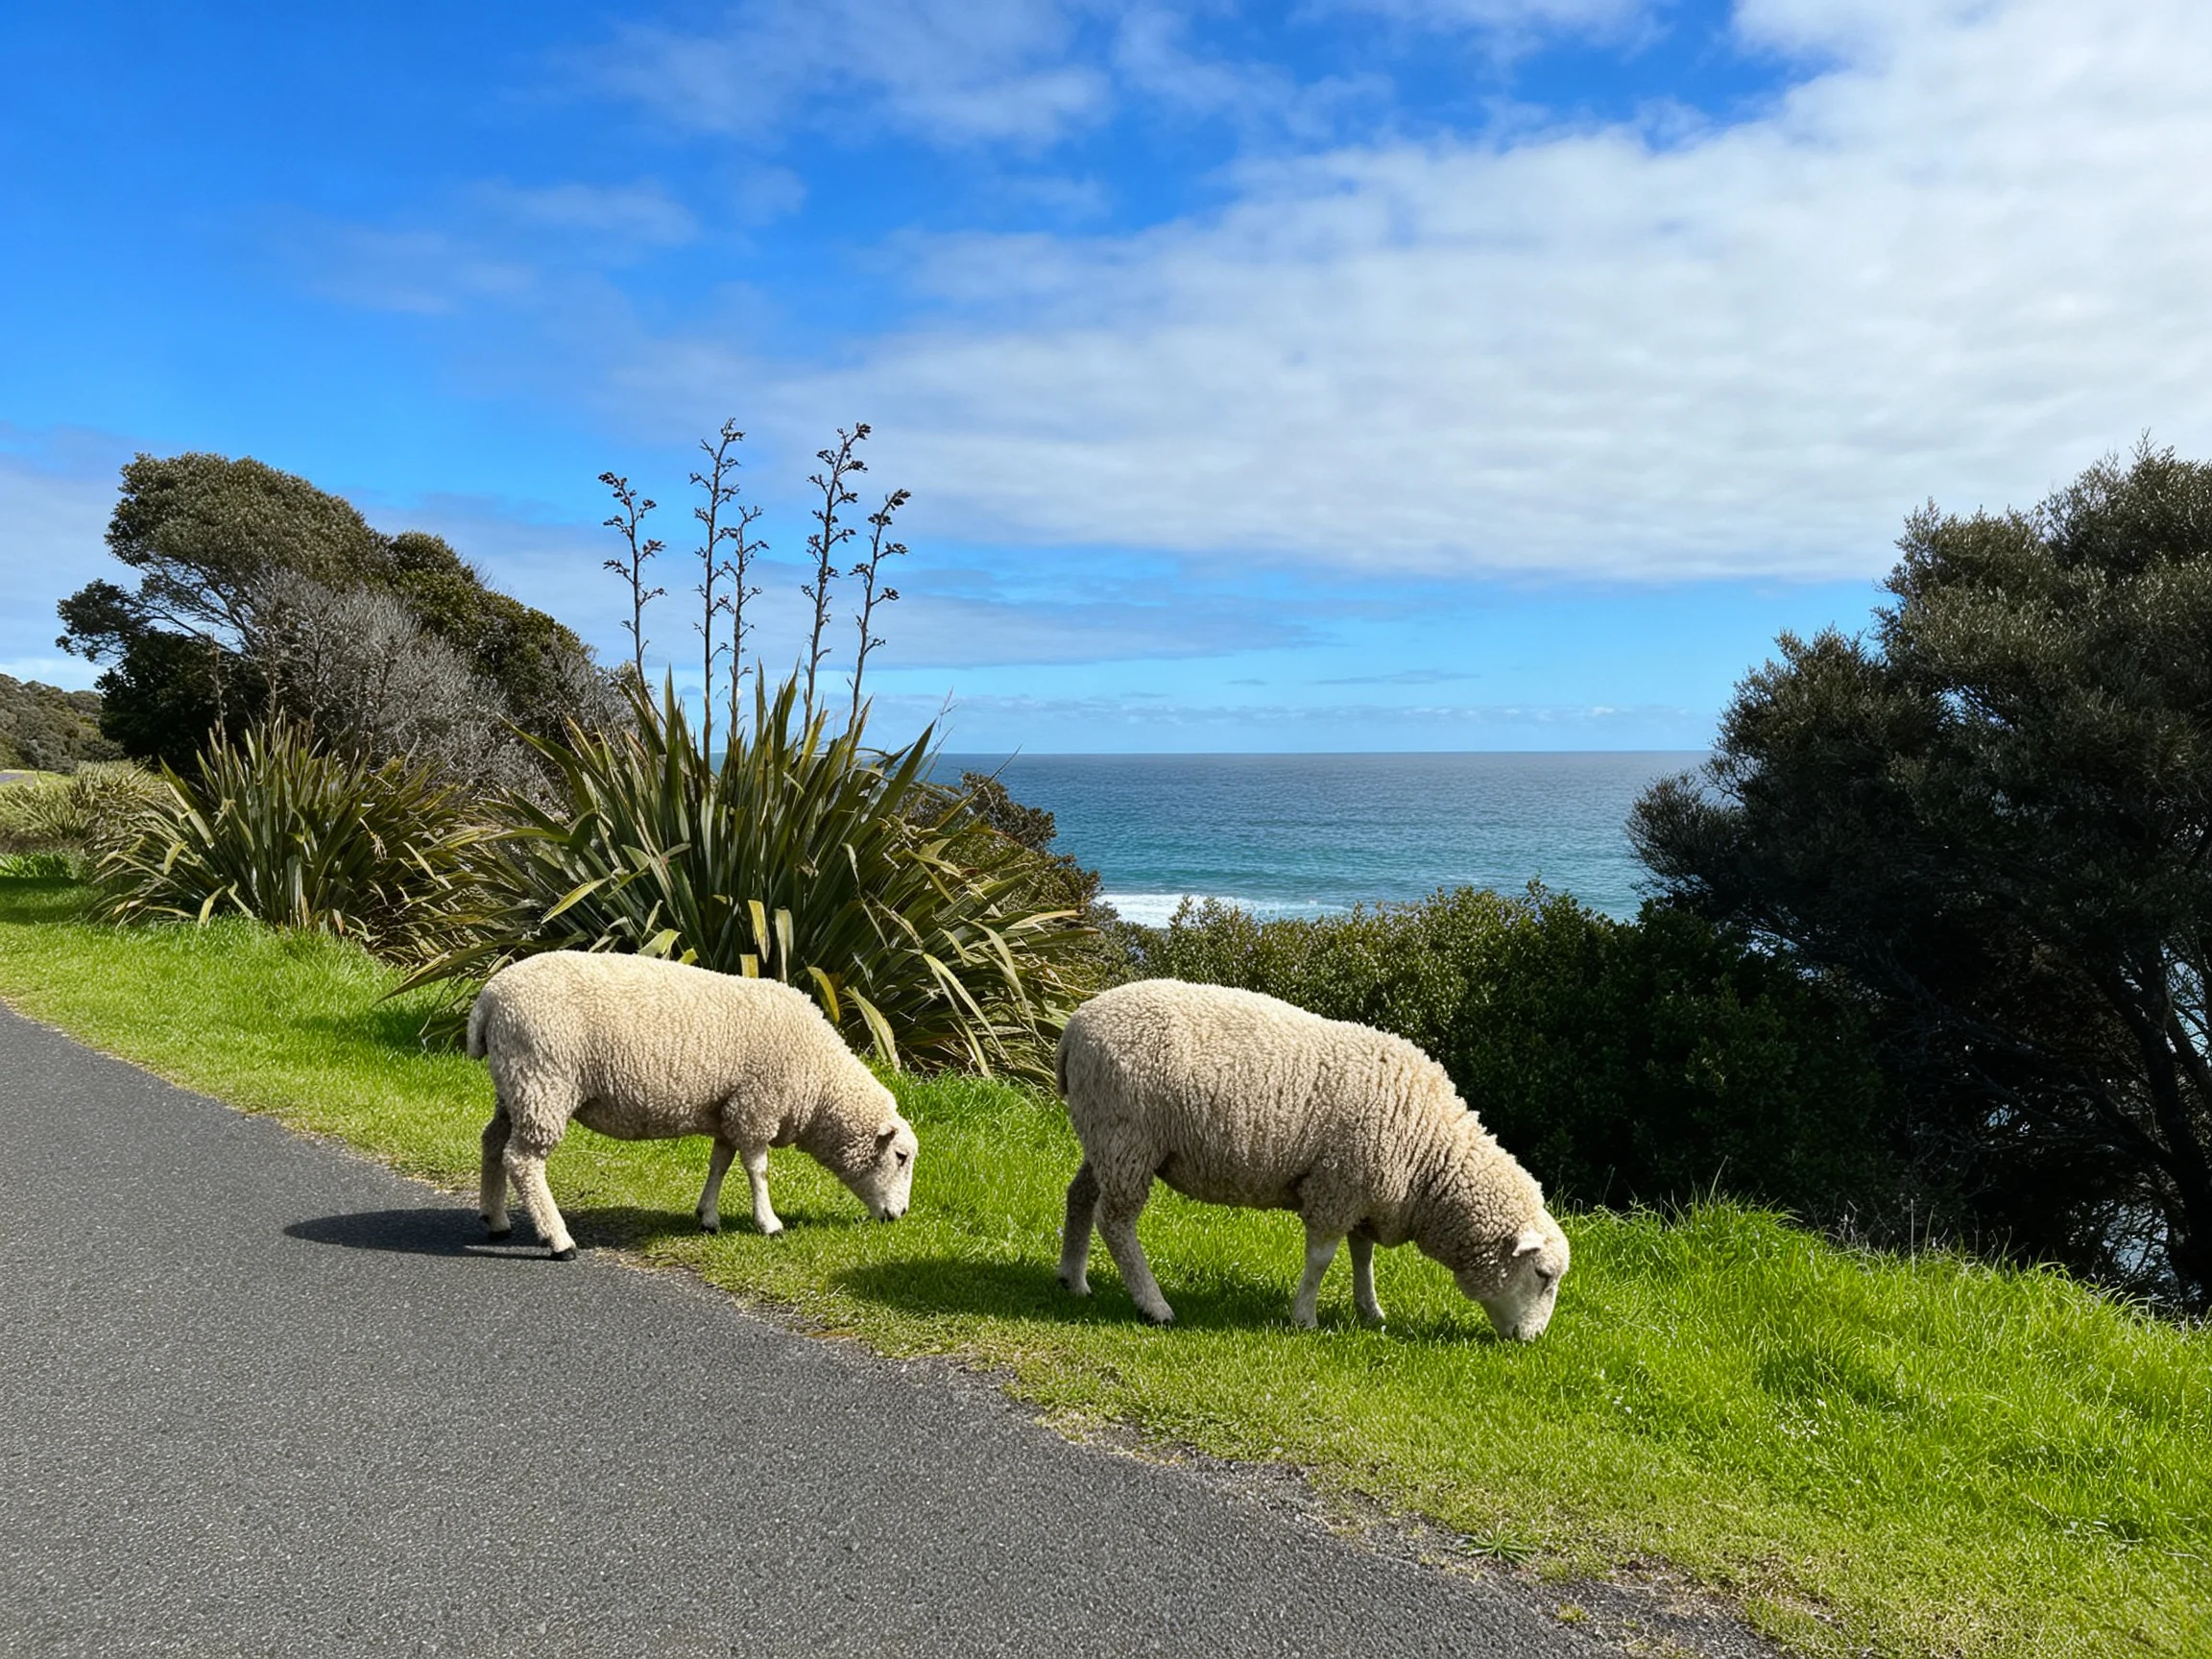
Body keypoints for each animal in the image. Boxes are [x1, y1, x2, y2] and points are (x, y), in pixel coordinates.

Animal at [467, 950, 919, 1259]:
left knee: (493, 1142)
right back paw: (559, 1240)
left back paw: (496, 1220)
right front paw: (769, 1223)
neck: (820, 1081)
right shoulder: (756, 1107)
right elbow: (758, 1170)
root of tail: (489, 1000)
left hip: (516, 1085)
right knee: (523, 1161)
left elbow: (720, 1163)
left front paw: (708, 1216)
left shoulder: (729, 1111)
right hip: (544, 1080)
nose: (899, 1215)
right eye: (900, 1157)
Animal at [1054, 979, 1569, 1339]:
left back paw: (1073, 1280)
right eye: (1543, 1274)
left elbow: (1362, 1257)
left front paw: (1371, 1311)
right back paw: (1153, 1304)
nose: (1532, 1340)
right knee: (1117, 1223)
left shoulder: (1364, 1193)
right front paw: (1304, 1317)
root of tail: (1075, 1025)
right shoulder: (1337, 1186)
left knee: (1080, 1197)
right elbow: (1322, 1258)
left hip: (1106, 1137)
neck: (1428, 1153)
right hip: (1127, 1137)